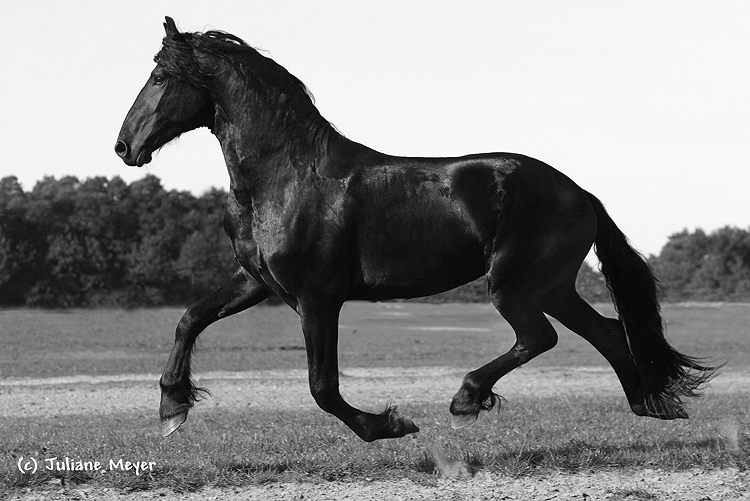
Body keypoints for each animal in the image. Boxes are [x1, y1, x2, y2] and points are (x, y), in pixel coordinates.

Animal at [114, 17, 712, 442]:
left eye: (160, 76)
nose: (124, 146)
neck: (285, 177)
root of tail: (580, 193)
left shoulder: (318, 296)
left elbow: (322, 387)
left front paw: (388, 425)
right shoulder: (256, 282)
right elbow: (190, 318)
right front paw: (172, 407)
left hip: (514, 285)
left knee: (539, 337)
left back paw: (466, 401)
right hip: (554, 286)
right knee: (606, 332)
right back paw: (651, 404)